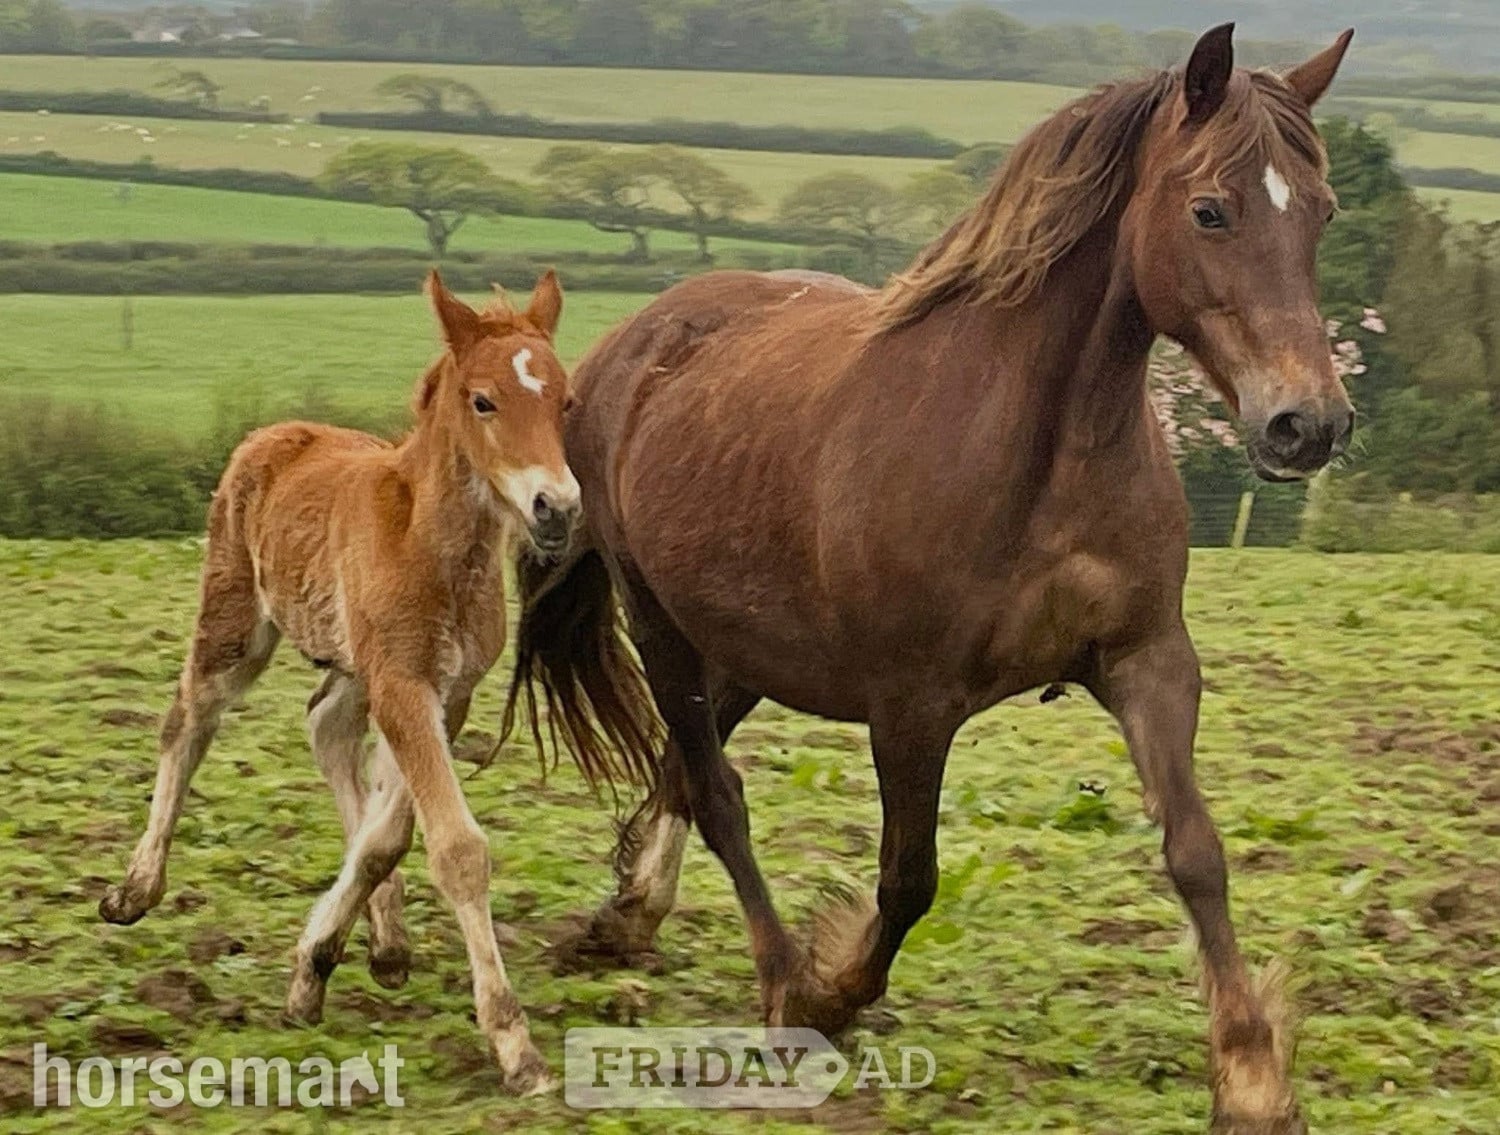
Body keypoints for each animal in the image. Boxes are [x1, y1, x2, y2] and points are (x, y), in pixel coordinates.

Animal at [99, 271, 648, 1094]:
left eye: (566, 402)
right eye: (483, 400)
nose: (556, 507)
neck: (436, 547)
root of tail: (272, 433)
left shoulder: (445, 691)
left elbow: (389, 835)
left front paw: (315, 966)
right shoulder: (401, 683)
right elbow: (456, 848)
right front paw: (515, 1045)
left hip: (353, 664)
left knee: (327, 725)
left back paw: (384, 941)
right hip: (236, 621)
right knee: (188, 720)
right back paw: (136, 888)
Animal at [505, 25, 1355, 1132]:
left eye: (1324, 211)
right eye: (1211, 209)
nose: (1308, 424)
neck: (1043, 450)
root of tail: (634, 342)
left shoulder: (1148, 662)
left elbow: (1197, 851)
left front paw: (1253, 1078)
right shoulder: (911, 703)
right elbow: (909, 878)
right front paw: (829, 991)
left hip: (739, 641)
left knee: (687, 771)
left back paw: (628, 917)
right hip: (663, 629)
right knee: (718, 790)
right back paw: (779, 983)